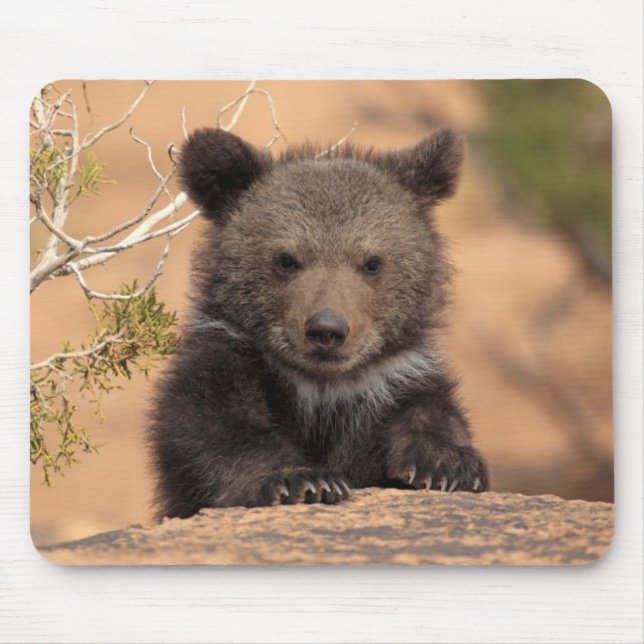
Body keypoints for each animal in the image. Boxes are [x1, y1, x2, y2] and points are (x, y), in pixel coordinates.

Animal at [148, 126, 490, 519]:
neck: (322, 390)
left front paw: (447, 465)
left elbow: (430, 412)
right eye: (286, 259)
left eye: (372, 262)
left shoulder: (393, 379)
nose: (327, 330)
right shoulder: (229, 360)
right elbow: (213, 426)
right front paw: (302, 479)